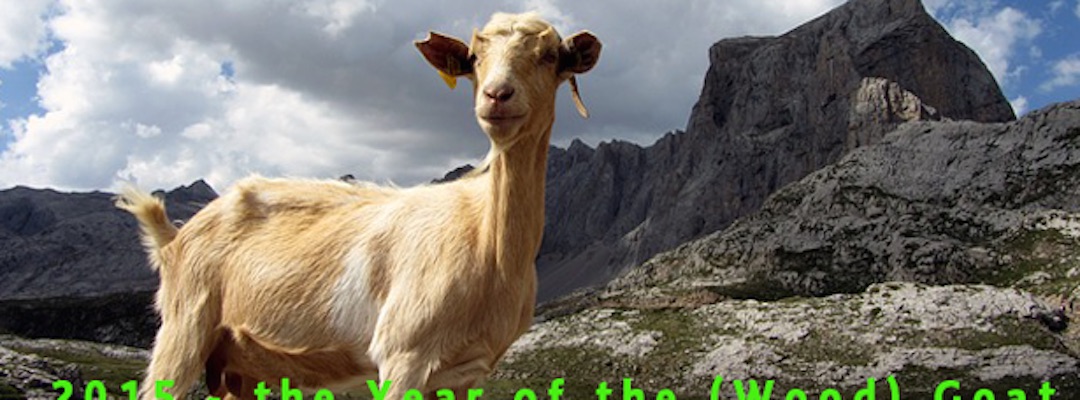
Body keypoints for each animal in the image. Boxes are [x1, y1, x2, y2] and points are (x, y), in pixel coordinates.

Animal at [116, 12, 601, 400]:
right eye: (474, 58)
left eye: (549, 56)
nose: (497, 96)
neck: (485, 237)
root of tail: (174, 235)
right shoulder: (402, 355)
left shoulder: (466, 372)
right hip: (183, 329)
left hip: (239, 363)